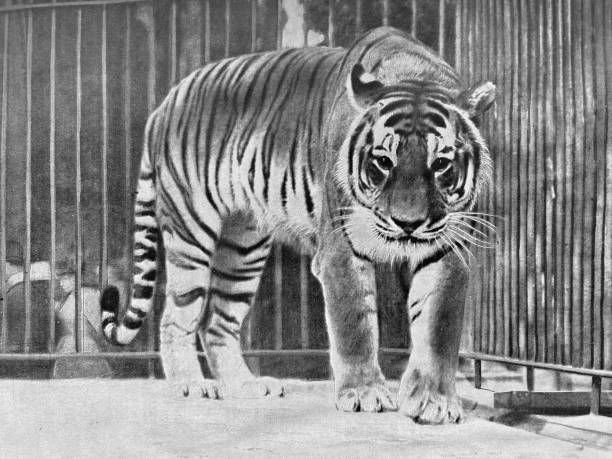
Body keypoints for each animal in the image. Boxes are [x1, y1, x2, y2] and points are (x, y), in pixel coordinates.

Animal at [99, 27, 492, 426]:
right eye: (383, 161)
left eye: (440, 163)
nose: (408, 223)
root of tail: (164, 103)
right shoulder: (341, 251)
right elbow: (354, 325)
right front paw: (364, 393)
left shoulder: (446, 249)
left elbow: (437, 327)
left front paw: (433, 401)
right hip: (191, 231)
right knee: (175, 317)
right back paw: (192, 385)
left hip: (243, 245)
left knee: (217, 323)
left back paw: (244, 385)